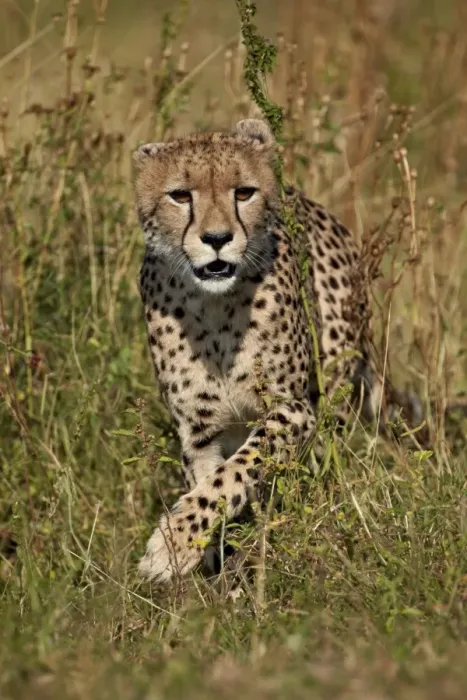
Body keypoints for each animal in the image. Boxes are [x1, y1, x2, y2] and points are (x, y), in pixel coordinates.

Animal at [132, 118, 422, 584]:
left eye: (243, 192)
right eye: (180, 195)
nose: (217, 238)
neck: (215, 308)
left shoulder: (293, 408)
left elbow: (234, 474)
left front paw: (172, 543)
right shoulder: (199, 433)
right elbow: (212, 483)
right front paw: (207, 556)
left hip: (333, 393)